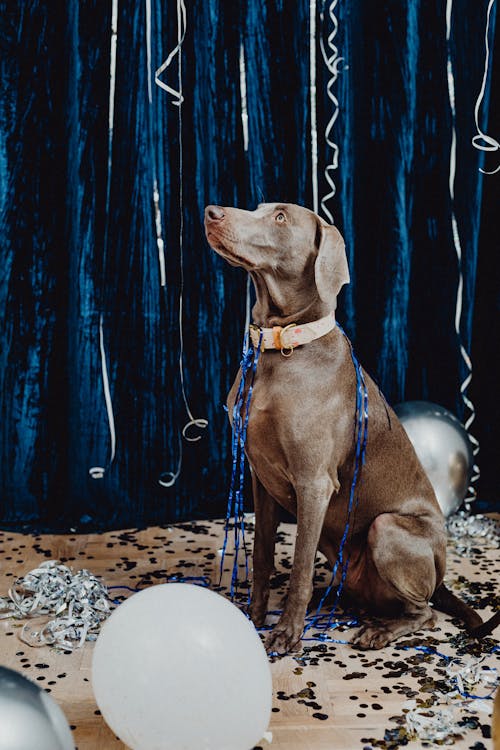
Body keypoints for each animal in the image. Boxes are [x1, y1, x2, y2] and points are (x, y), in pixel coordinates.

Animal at [204, 203, 496, 656]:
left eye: (281, 218)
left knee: (425, 612)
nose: (211, 212)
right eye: (257, 208)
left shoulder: (314, 482)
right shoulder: (259, 477)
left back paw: (379, 631)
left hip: (387, 528)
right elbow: (263, 554)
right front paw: (252, 617)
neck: (281, 347)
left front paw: (286, 633)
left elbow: (300, 568)